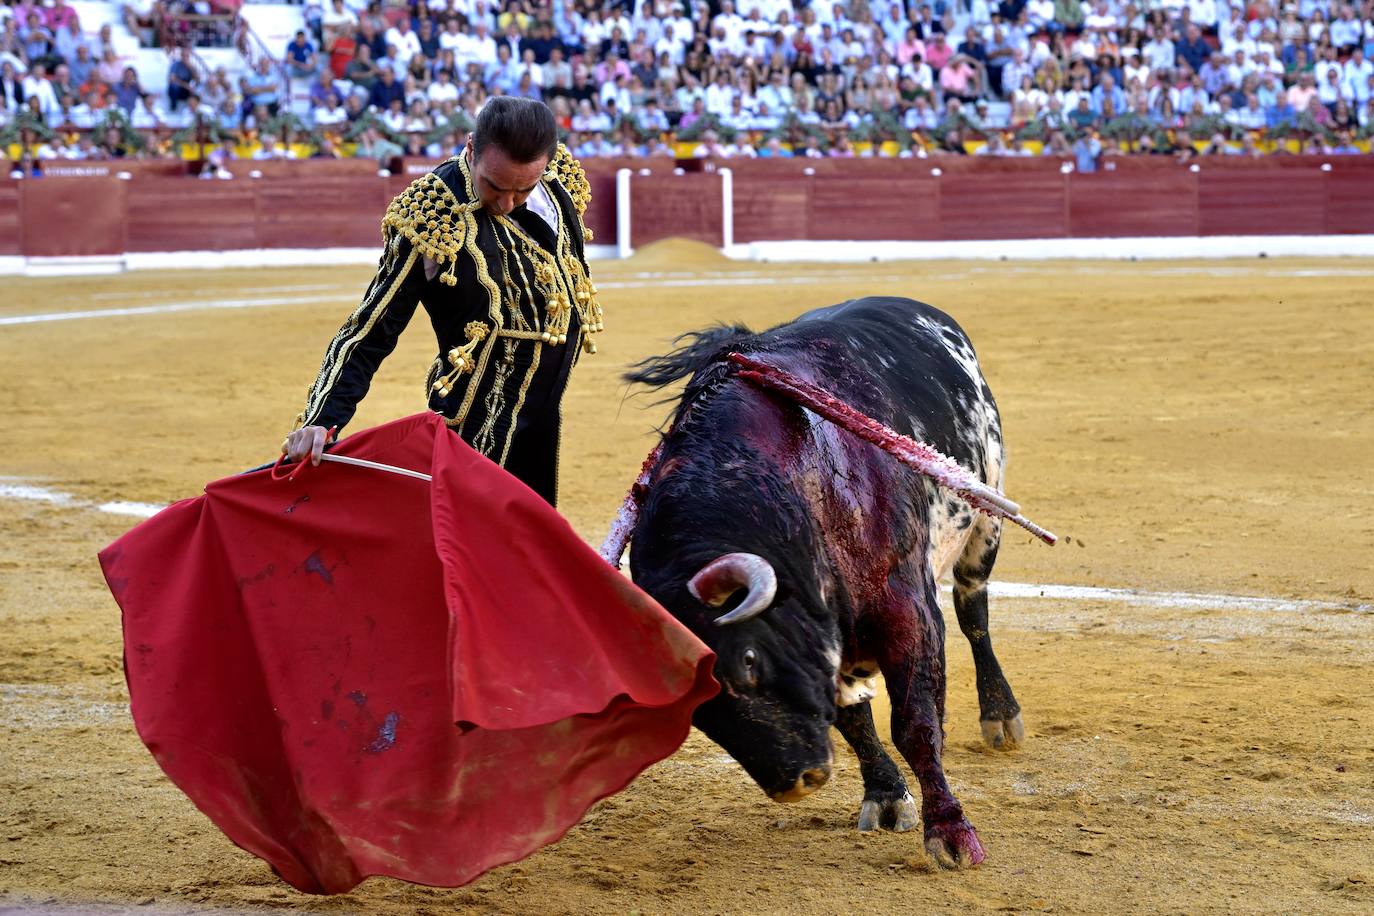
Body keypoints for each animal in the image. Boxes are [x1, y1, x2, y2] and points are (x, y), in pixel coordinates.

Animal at [629, 298, 1027, 873]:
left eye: (748, 661)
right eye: (696, 710)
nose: (796, 783)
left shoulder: (908, 608)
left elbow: (916, 722)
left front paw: (952, 832)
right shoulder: (825, 643)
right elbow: (853, 719)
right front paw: (886, 796)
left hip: (986, 517)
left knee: (974, 612)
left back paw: (1001, 714)